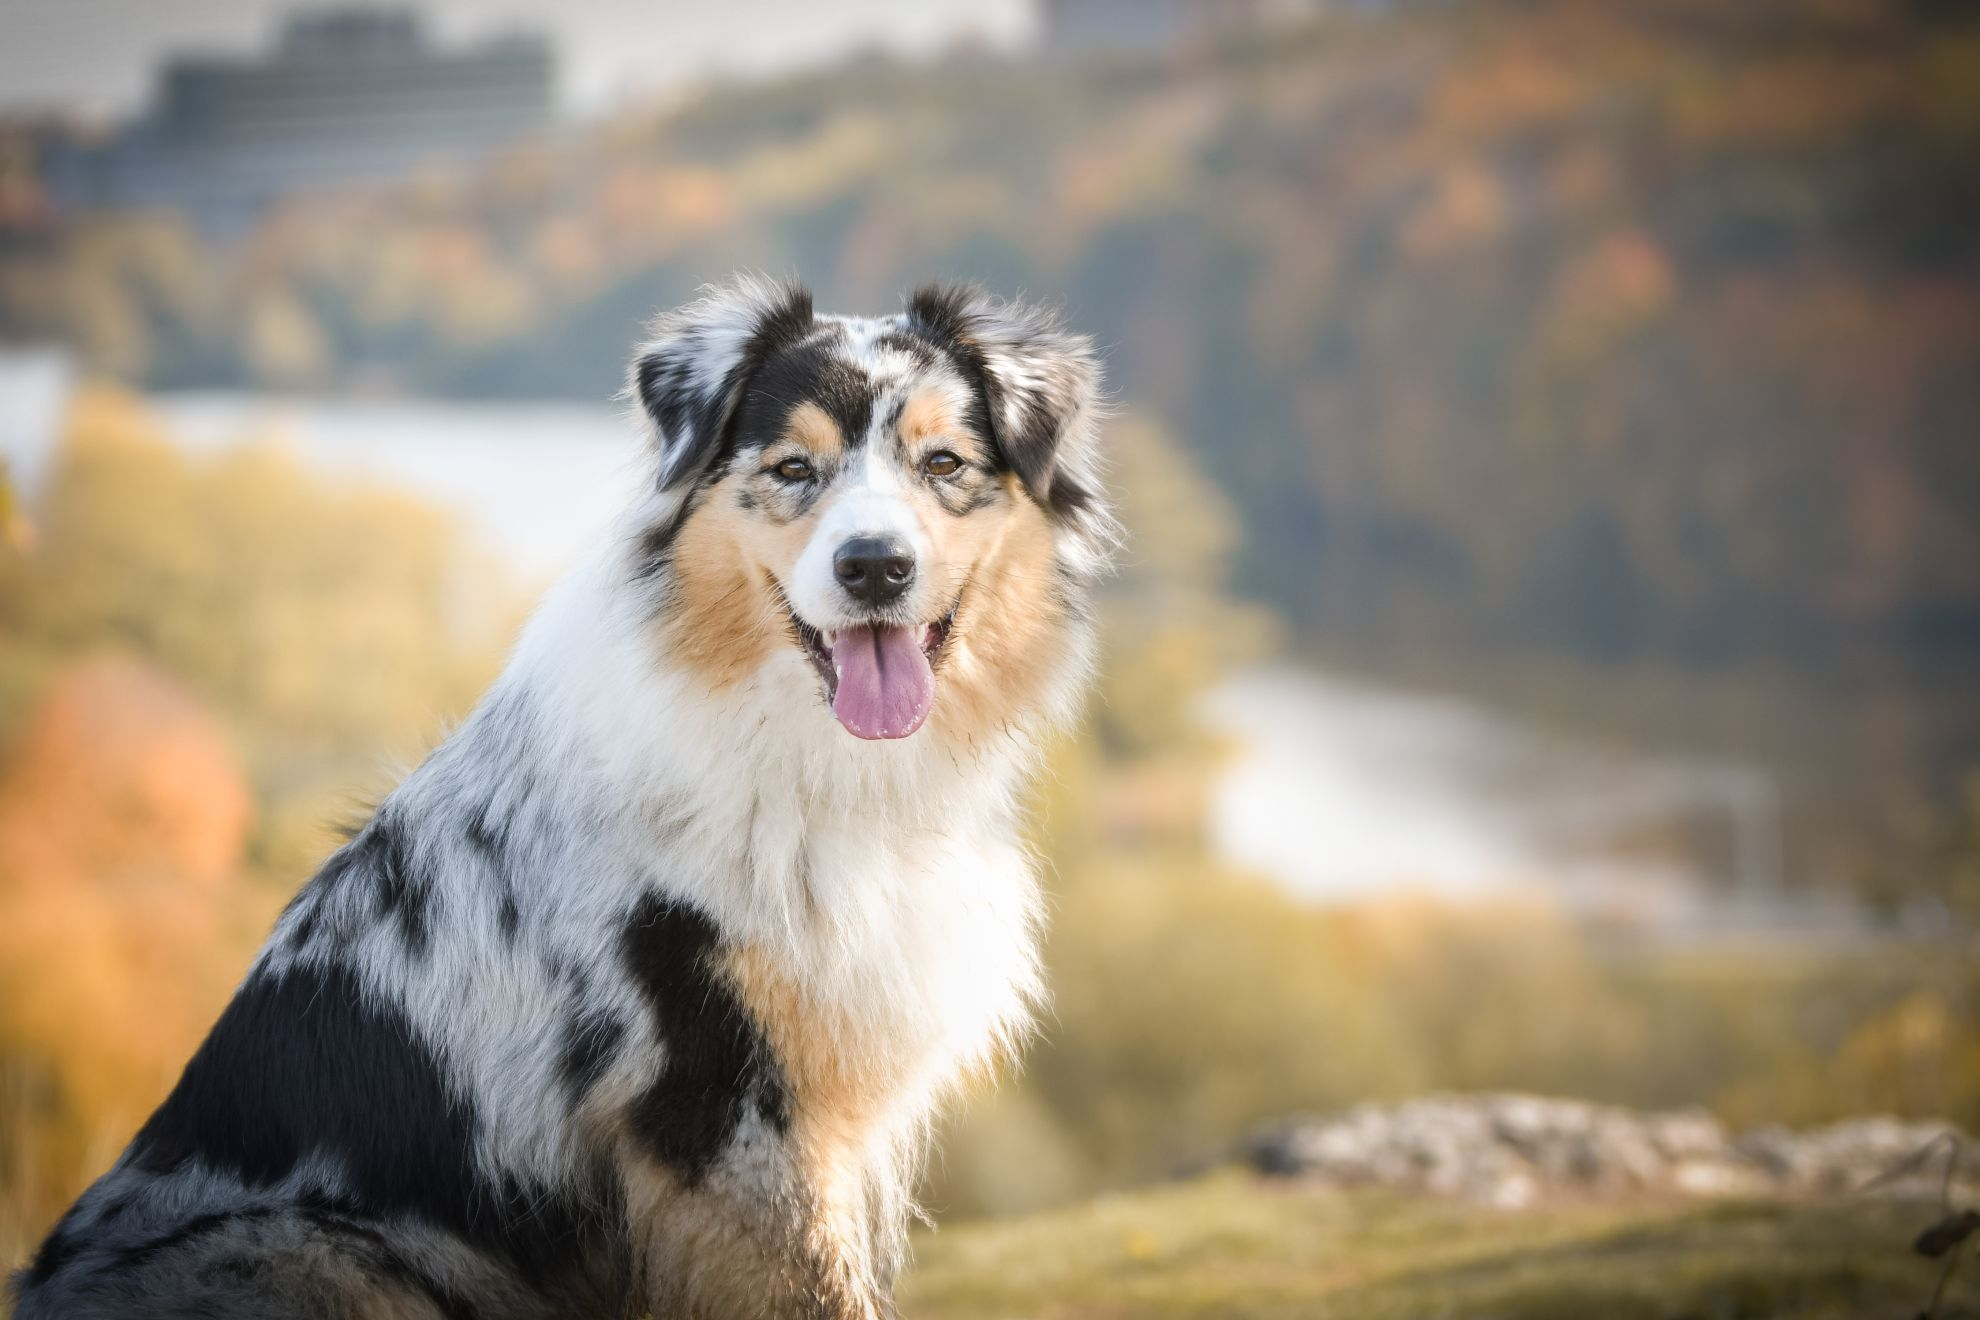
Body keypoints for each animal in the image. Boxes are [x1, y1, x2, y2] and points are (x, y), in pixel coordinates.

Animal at [11, 273, 1116, 1314]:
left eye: (945, 466)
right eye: (792, 470)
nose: (875, 567)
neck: (818, 761)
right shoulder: (725, 1117)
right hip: (319, 1254)